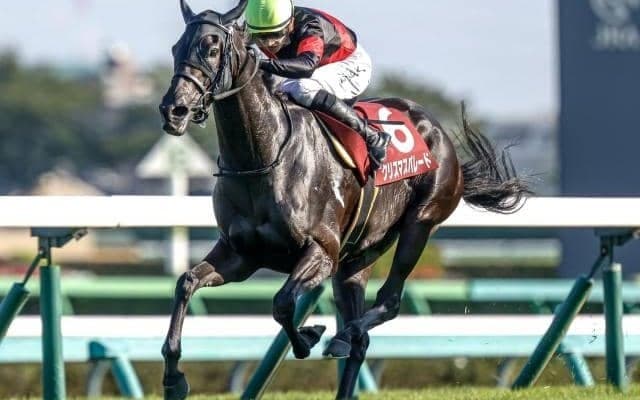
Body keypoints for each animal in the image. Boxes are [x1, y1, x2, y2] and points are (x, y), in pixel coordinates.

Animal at [158, 1, 531, 399]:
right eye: (175, 48)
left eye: (212, 49)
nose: (173, 110)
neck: (262, 157)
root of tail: (439, 133)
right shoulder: (240, 255)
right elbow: (185, 283)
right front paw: (174, 378)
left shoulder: (321, 250)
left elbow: (283, 303)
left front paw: (309, 335)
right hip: (358, 257)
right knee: (360, 336)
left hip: (420, 222)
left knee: (387, 302)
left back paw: (341, 334)